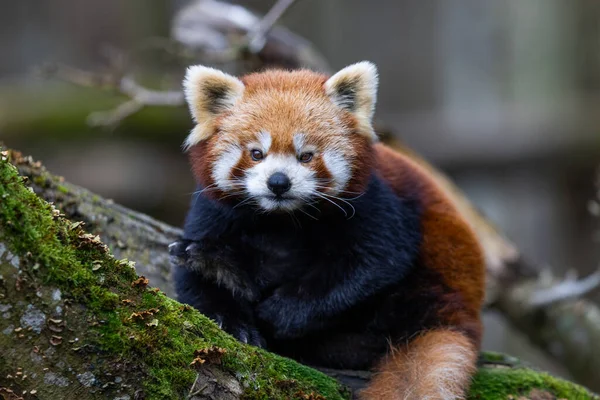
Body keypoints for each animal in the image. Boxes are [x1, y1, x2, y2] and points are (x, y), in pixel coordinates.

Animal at [170, 61, 488, 398]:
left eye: (306, 155)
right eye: (256, 153)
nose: (278, 182)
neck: (281, 220)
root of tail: (457, 314)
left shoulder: (373, 203)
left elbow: (374, 263)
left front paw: (280, 313)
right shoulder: (213, 210)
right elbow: (192, 280)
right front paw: (230, 319)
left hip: (432, 276)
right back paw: (218, 264)